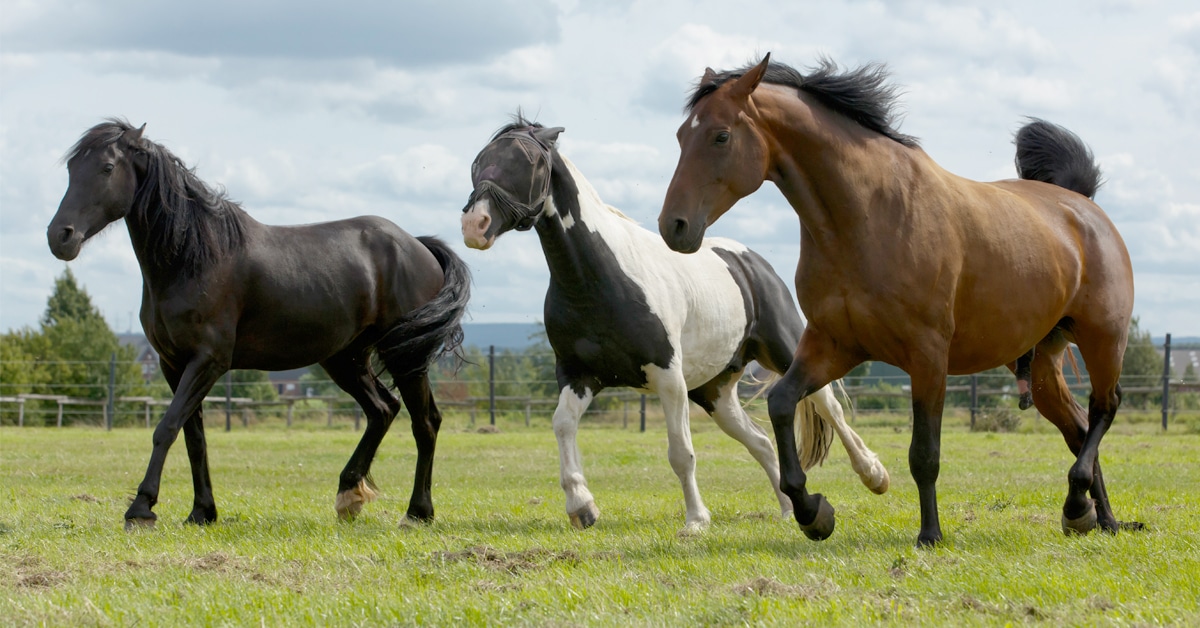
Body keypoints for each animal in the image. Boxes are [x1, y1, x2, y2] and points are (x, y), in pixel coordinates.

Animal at [46, 119, 470, 530]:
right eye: (70, 168)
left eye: (107, 168)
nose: (60, 236)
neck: (195, 258)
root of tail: (416, 245)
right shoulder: (173, 364)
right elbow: (193, 436)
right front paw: (202, 512)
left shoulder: (208, 361)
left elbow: (166, 427)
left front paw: (141, 507)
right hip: (345, 359)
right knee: (383, 409)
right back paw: (349, 495)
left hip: (405, 357)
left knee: (425, 422)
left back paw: (417, 513)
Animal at [460, 115, 889, 533]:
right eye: (477, 162)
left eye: (530, 162)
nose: (475, 225)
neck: (597, 278)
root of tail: (751, 262)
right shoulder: (578, 374)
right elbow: (563, 426)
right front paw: (582, 507)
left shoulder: (668, 377)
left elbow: (681, 452)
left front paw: (696, 521)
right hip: (715, 393)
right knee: (761, 441)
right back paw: (787, 511)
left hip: (783, 353)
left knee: (830, 407)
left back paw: (874, 475)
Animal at [659, 55, 1137, 546]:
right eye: (680, 136)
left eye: (721, 136)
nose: (673, 226)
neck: (868, 218)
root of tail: (1082, 206)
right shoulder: (833, 344)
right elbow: (782, 403)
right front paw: (813, 512)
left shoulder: (927, 355)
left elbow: (924, 453)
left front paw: (930, 534)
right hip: (1039, 363)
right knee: (1078, 427)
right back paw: (1098, 518)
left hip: (1103, 338)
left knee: (1105, 407)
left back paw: (1079, 504)